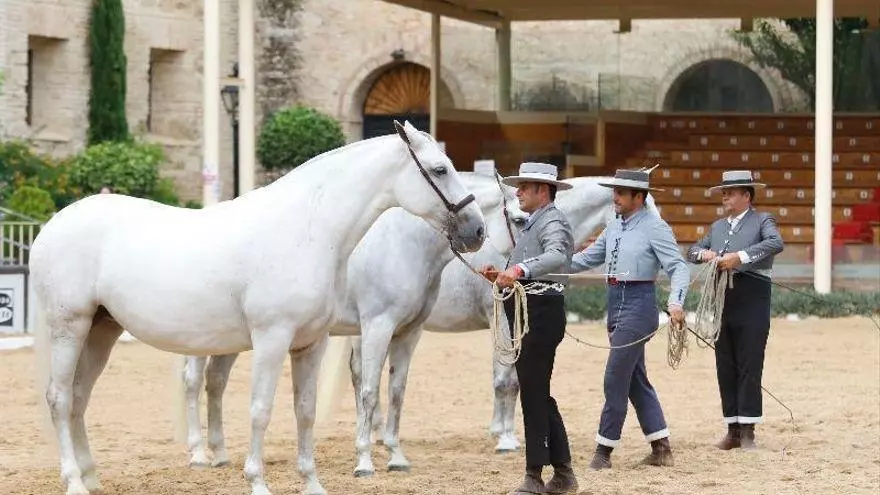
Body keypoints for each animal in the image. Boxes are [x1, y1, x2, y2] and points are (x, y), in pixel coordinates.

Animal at [29, 120, 486, 495]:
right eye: (440, 169)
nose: (477, 230)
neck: (308, 229)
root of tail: (51, 226)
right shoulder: (272, 338)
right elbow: (261, 410)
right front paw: (257, 481)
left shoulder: (311, 343)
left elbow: (305, 410)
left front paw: (311, 482)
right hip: (70, 326)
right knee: (60, 398)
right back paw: (74, 481)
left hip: (101, 329)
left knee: (80, 397)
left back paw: (91, 477)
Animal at [180, 168, 528, 475]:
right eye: (519, 219)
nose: (478, 235)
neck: (403, 247)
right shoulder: (378, 326)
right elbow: (370, 390)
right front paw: (364, 460)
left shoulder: (409, 332)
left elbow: (396, 390)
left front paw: (394, 454)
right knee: (194, 381)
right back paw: (198, 454)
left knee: (215, 382)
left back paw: (219, 453)